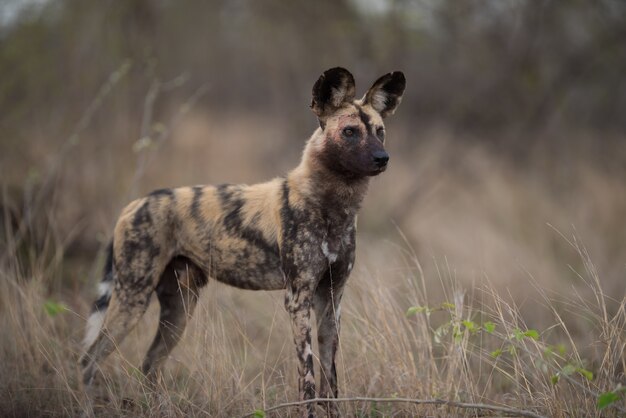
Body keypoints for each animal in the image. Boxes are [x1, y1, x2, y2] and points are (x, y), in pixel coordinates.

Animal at [79, 67, 404, 416]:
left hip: (179, 308)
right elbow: (308, 380)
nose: (383, 157)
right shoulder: (299, 299)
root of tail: (134, 204)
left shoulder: (332, 298)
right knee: (88, 361)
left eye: (380, 131)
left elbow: (330, 383)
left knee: (150, 363)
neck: (332, 207)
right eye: (350, 132)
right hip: (133, 298)